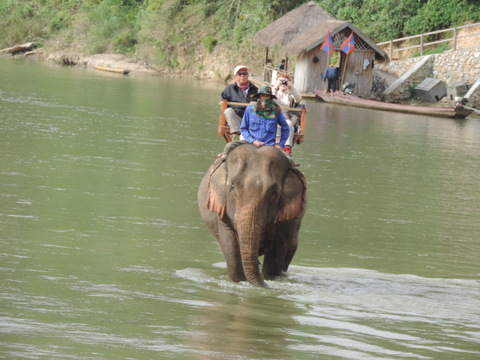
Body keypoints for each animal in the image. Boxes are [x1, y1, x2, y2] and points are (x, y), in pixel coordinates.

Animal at [198, 143, 304, 286]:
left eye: (274, 191)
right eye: (232, 187)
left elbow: (277, 251)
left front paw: (269, 280)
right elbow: (230, 246)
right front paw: (239, 282)